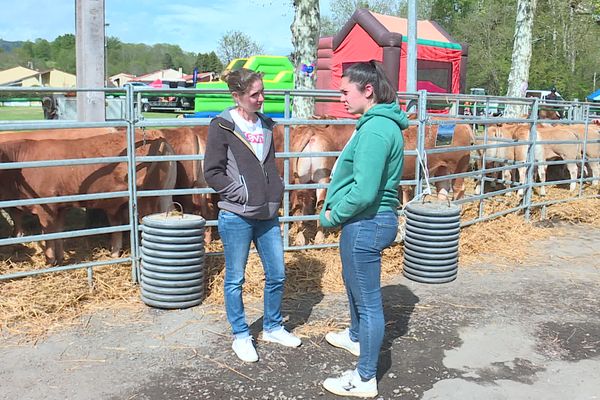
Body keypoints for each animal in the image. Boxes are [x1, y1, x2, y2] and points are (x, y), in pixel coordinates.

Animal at [0, 130, 177, 266]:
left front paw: (49, 262)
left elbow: (48, 235)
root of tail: (155, 135)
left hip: (147, 199)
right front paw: (60, 259)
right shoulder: (59, 207)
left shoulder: (46, 207)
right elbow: (58, 233)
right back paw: (114, 254)